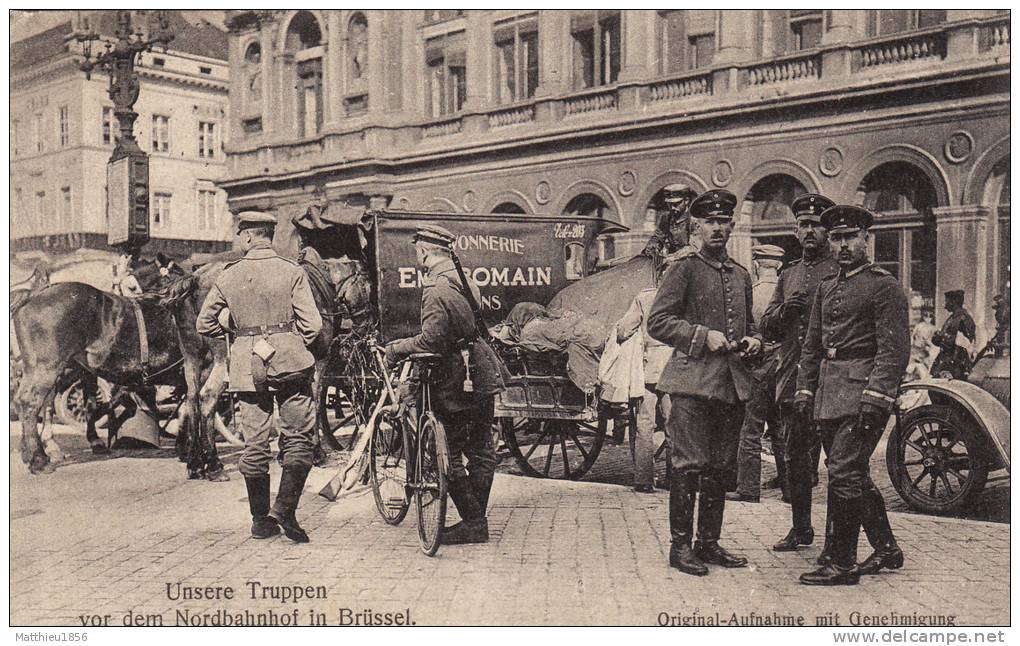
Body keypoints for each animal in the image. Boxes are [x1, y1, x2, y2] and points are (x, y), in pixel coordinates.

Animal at [10, 269, 222, 475]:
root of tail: (33, 295)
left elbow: (186, 409)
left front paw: (186, 450)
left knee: (35, 402)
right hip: (47, 368)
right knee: (31, 402)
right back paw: (39, 460)